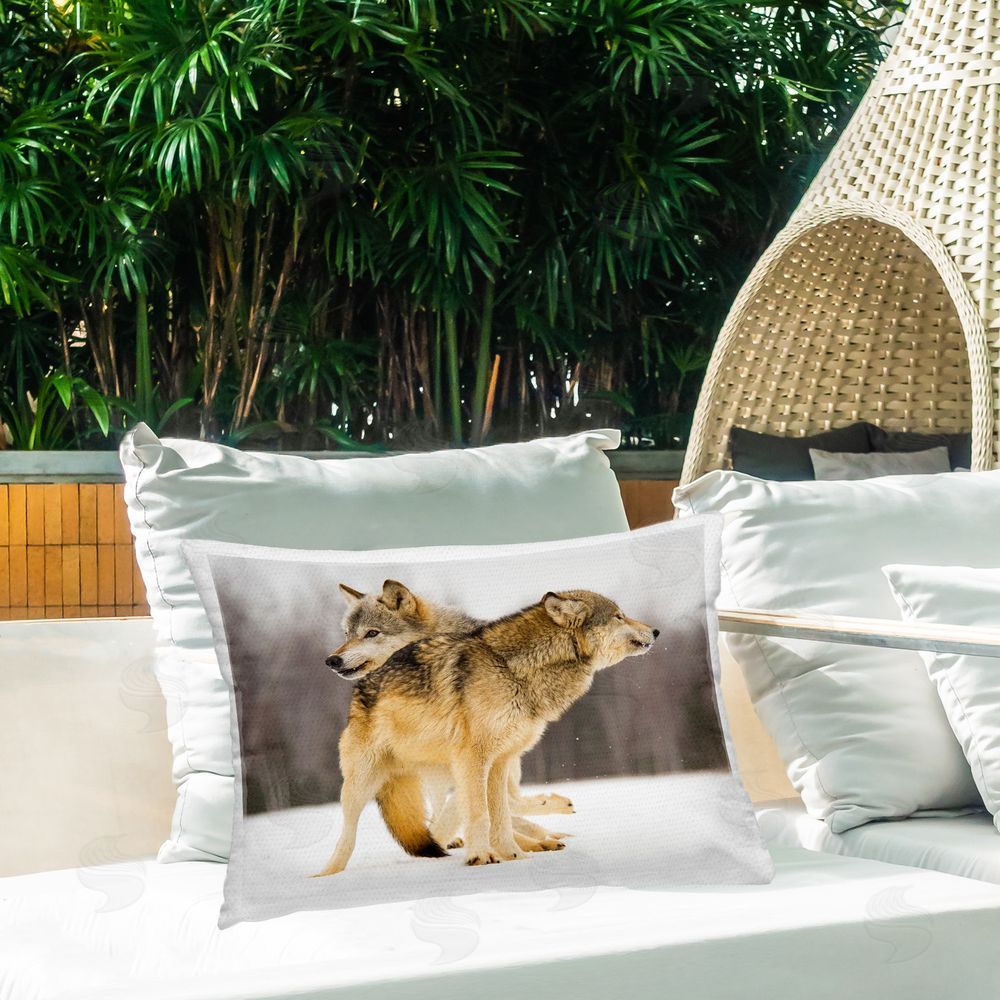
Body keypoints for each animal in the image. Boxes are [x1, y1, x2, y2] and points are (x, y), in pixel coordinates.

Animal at [313, 590, 658, 875]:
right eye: (619, 616)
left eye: (371, 633)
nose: (655, 631)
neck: (513, 668)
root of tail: (359, 690)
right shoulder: (471, 759)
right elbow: (479, 812)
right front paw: (480, 856)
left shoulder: (499, 760)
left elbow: (499, 814)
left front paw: (513, 855)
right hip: (360, 785)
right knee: (347, 837)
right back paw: (326, 876)